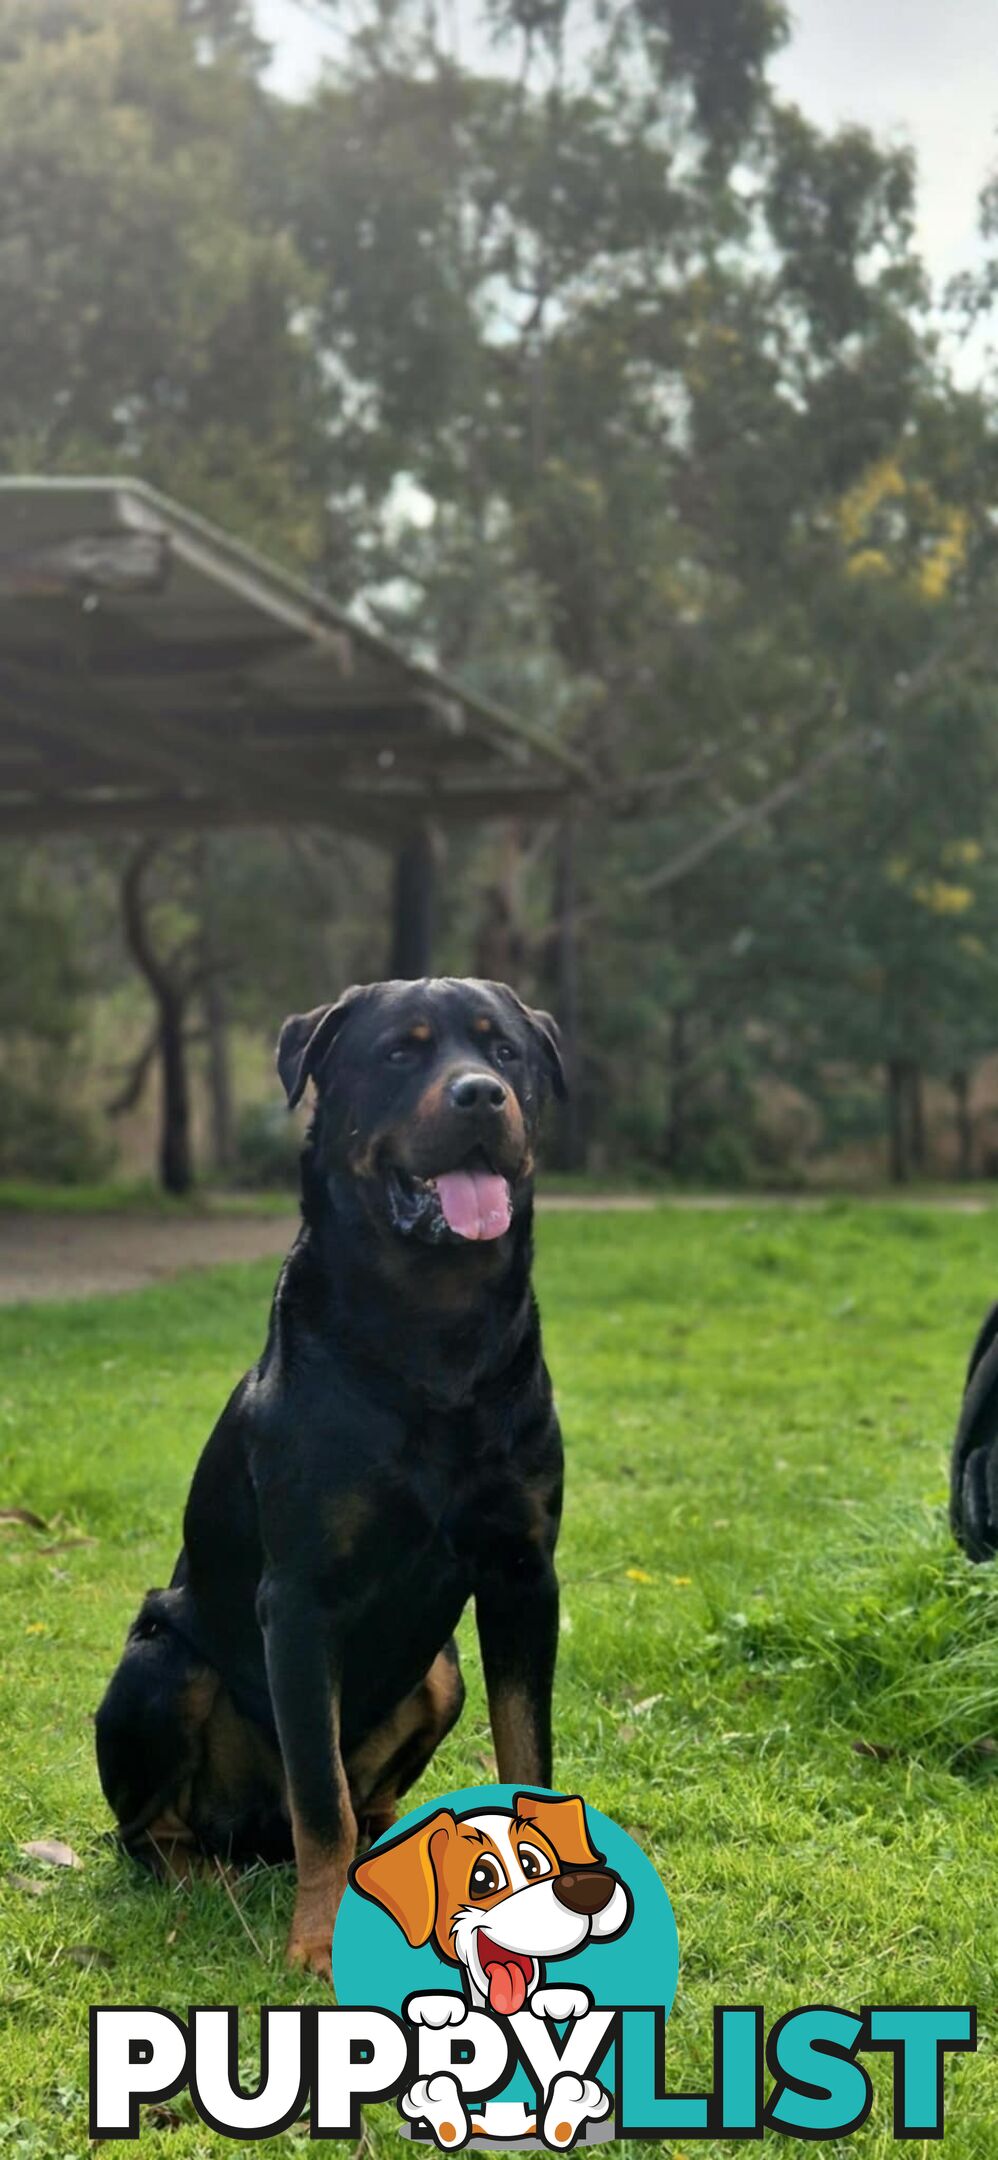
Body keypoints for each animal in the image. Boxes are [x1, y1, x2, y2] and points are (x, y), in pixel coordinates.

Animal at [97, 980, 565, 1978]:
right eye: (400, 1053)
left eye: (504, 1052)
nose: (480, 1096)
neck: (434, 1331)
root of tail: (251, 1837)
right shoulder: (302, 1600)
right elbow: (321, 1799)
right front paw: (318, 1940)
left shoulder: (523, 1573)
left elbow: (527, 1750)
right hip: (161, 1662)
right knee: (158, 1834)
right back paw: (213, 1880)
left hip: (439, 1672)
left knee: (374, 1800)